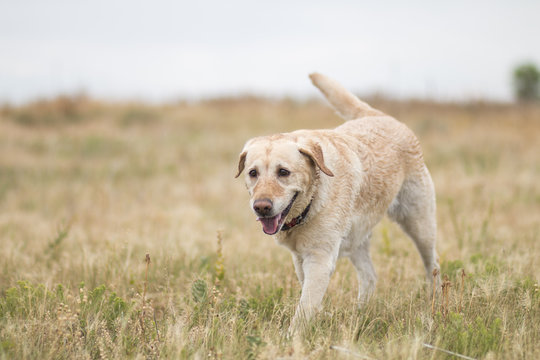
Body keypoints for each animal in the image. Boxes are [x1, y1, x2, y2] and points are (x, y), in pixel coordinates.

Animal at [235, 73, 438, 330]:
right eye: (253, 173)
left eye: (283, 172)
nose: (261, 207)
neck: (312, 200)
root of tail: (380, 116)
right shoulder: (300, 259)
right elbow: (309, 299)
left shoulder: (319, 259)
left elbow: (305, 307)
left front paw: (292, 337)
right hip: (356, 238)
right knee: (370, 276)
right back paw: (360, 313)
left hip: (420, 224)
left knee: (433, 266)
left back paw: (435, 303)